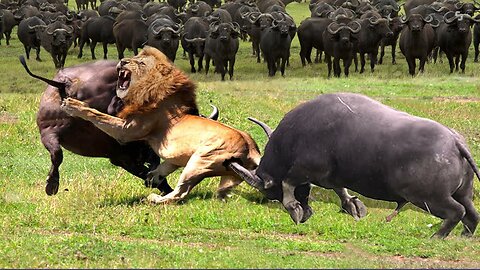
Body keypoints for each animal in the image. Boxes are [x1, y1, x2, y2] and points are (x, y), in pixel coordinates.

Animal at [62, 46, 262, 202]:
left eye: (141, 63)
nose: (123, 61)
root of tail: (250, 149)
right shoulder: (176, 155)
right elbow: (164, 165)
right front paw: (152, 177)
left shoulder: (127, 131)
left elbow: (98, 115)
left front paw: (73, 105)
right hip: (220, 173)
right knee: (220, 192)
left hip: (200, 161)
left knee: (180, 194)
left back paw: (153, 198)